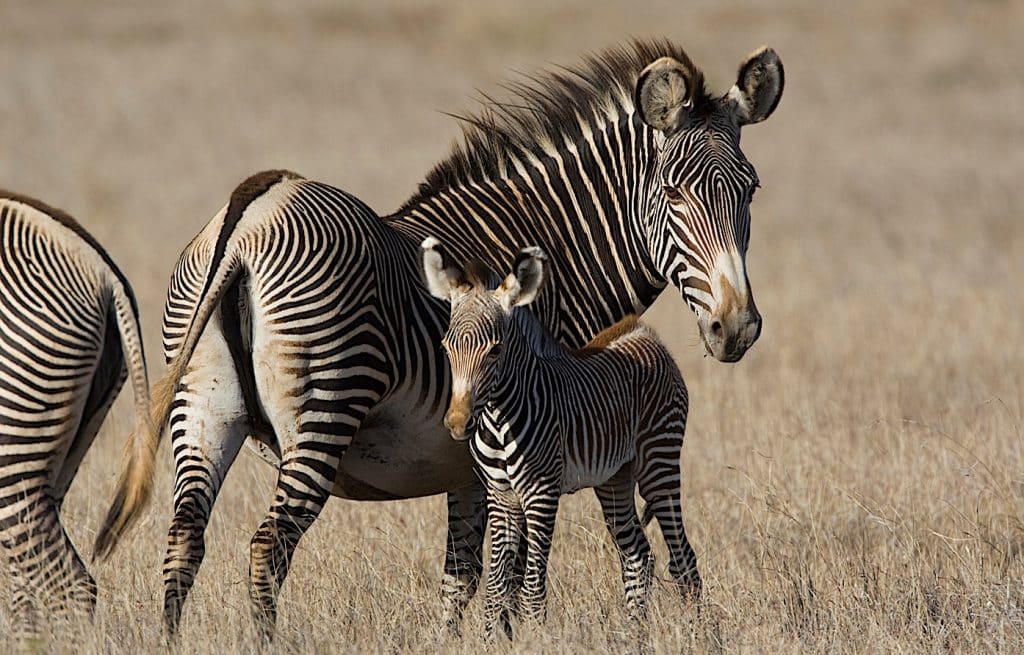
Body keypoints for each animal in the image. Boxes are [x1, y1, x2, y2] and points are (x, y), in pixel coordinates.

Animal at [419, 237, 700, 638]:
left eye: (495, 350)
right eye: (445, 347)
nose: (458, 424)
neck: (499, 419)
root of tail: (645, 333)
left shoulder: (541, 493)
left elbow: (532, 587)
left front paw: (537, 639)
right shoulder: (501, 496)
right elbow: (496, 586)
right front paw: (490, 639)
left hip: (660, 461)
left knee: (683, 559)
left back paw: (700, 635)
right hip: (614, 477)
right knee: (638, 556)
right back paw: (635, 635)